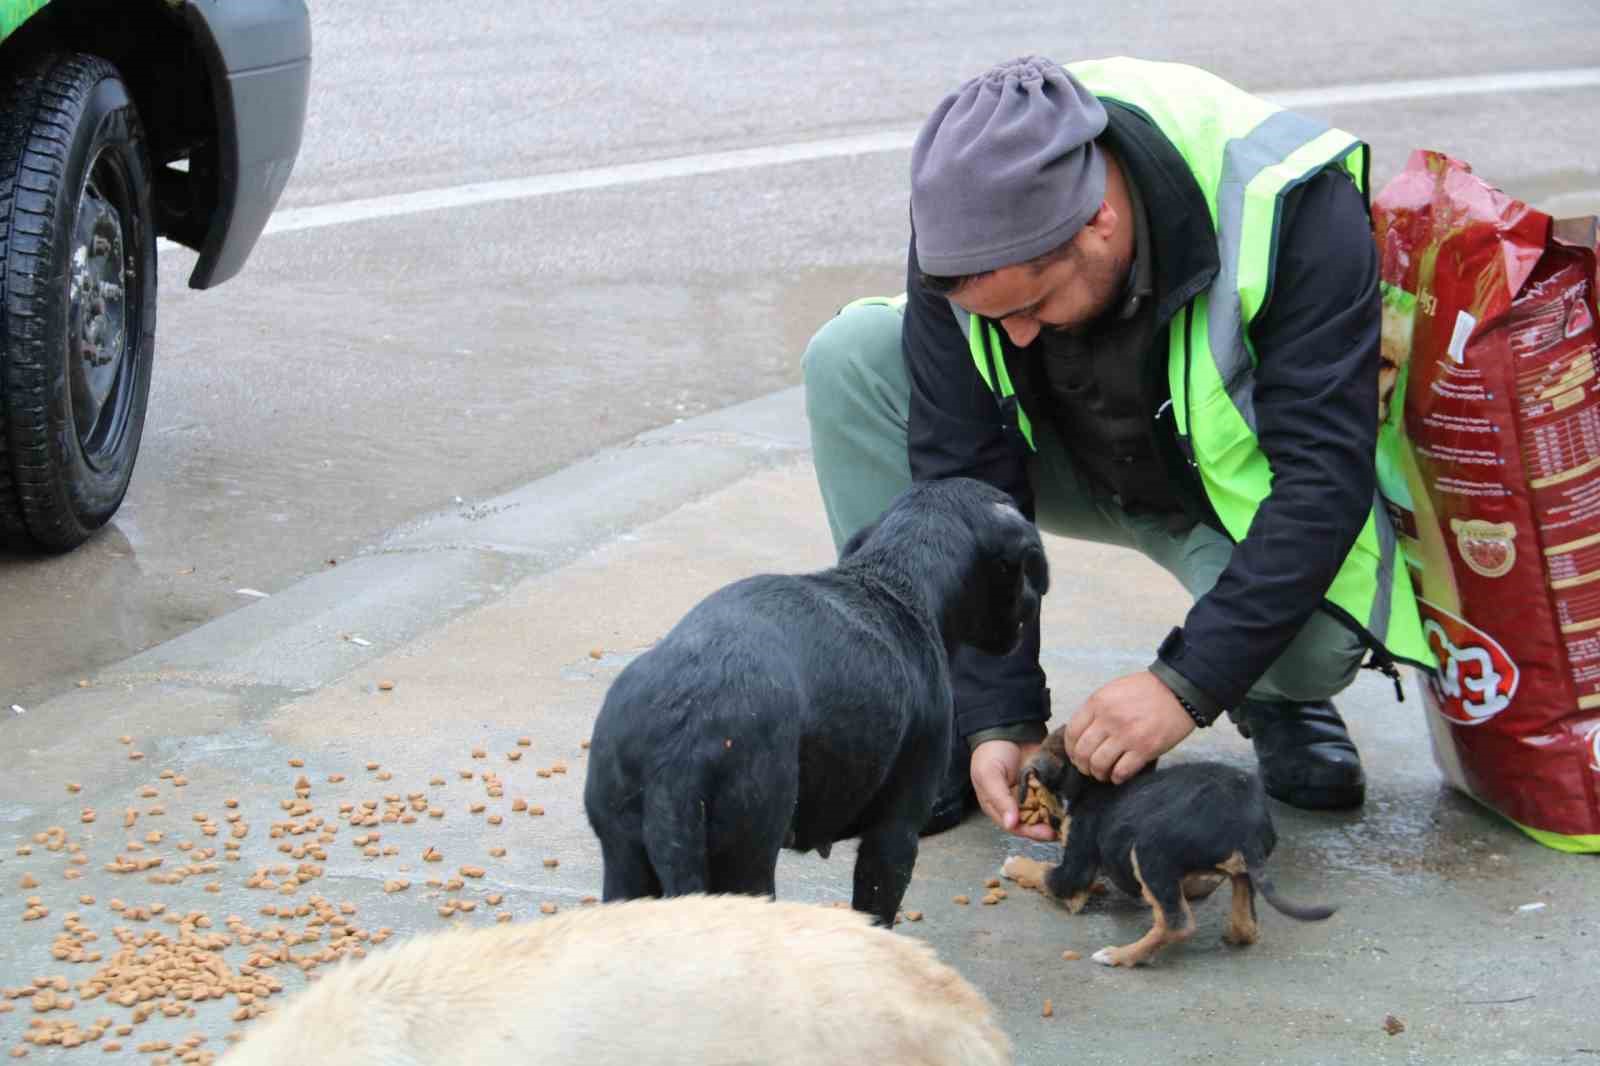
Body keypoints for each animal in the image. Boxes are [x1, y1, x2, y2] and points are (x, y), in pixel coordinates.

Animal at [588, 476, 1049, 928]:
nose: (1034, 600)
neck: (893, 581)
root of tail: (678, 745)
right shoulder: (894, 834)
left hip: (626, 862)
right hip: (746, 861)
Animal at [1004, 726, 1331, 966]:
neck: (1093, 784)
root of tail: (1245, 828)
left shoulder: (1076, 866)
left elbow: (1046, 875)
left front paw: (1014, 865)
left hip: (1149, 851)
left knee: (1178, 923)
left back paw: (1120, 955)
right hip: (1242, 870)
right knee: (1245, 924)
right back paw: (1232, 933)